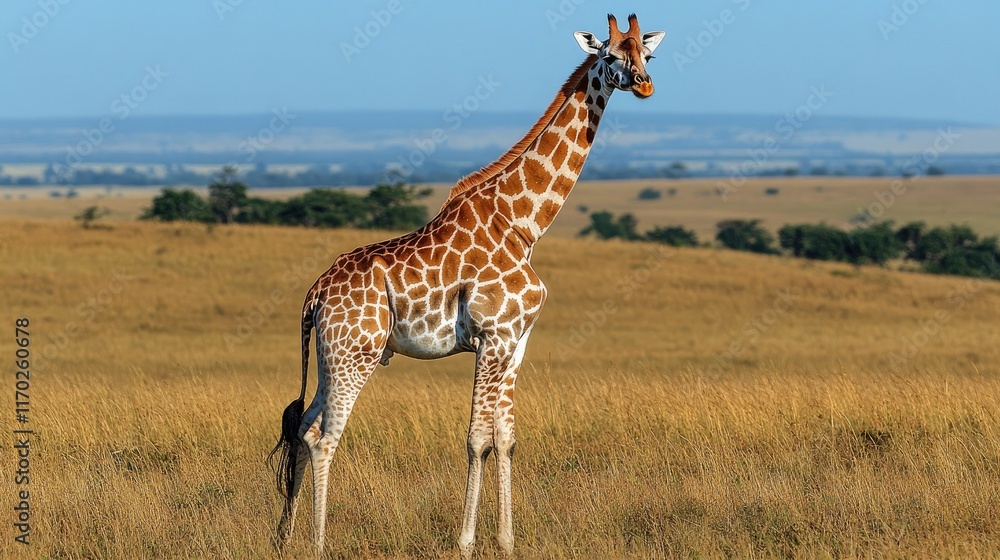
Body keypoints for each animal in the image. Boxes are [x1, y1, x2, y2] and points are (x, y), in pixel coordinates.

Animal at [270, 13, 665, 558]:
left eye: (647, 53)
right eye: (609, 55)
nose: (644, 85)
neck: (523, 225)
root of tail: (314, 295)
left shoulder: (516, 342)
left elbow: (506, 439)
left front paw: (507, 541)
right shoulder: (492, 337)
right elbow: (477, 439)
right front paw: (465, 542)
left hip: (334, 356)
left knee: (304, 430)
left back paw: (286, 537)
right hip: (355, 356)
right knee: (326, 438)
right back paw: (319, 543)